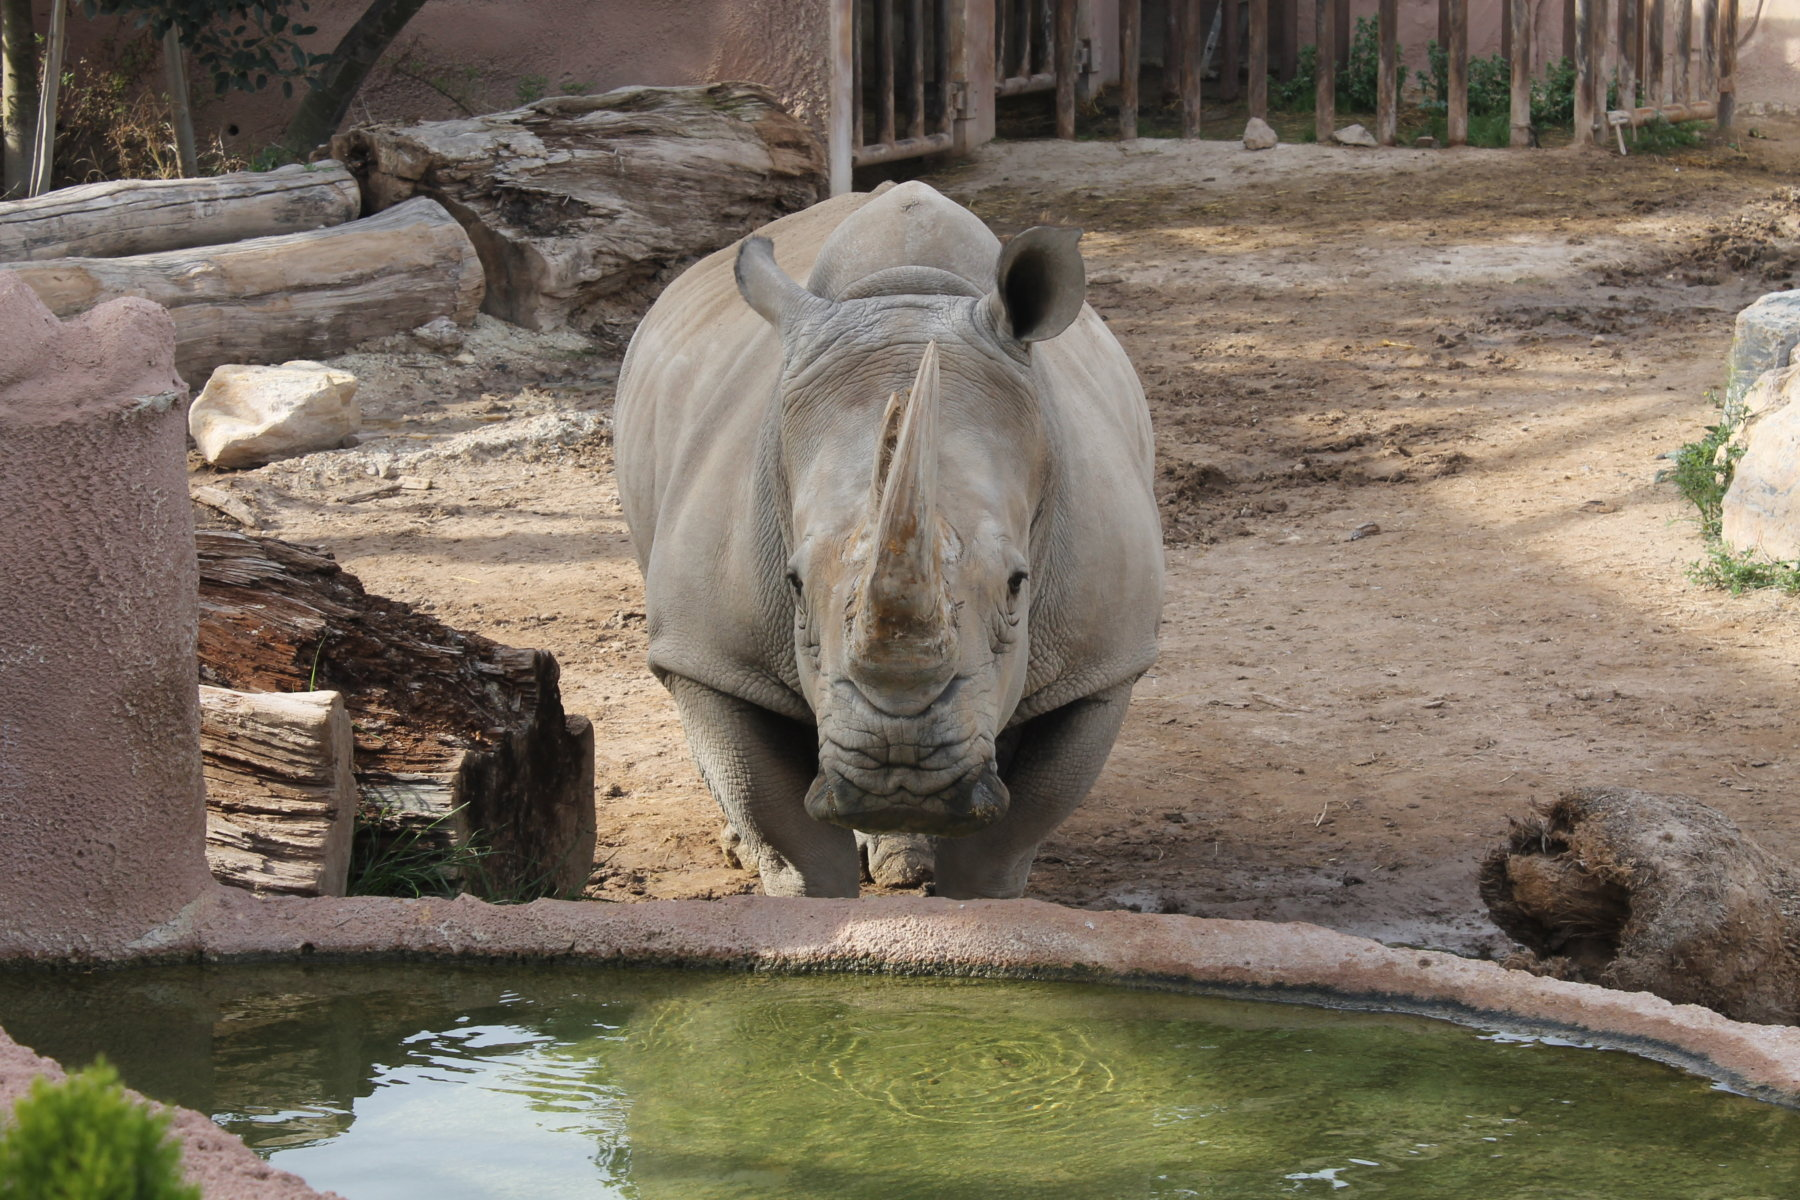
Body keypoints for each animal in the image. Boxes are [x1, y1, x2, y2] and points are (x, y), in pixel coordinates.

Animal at [613, 181, 1162, 899]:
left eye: (1019, 585)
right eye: (792, 583)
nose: (901, 776)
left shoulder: (1101, 661)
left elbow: (1005, 843)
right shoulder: (710, 656)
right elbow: (794, 843)